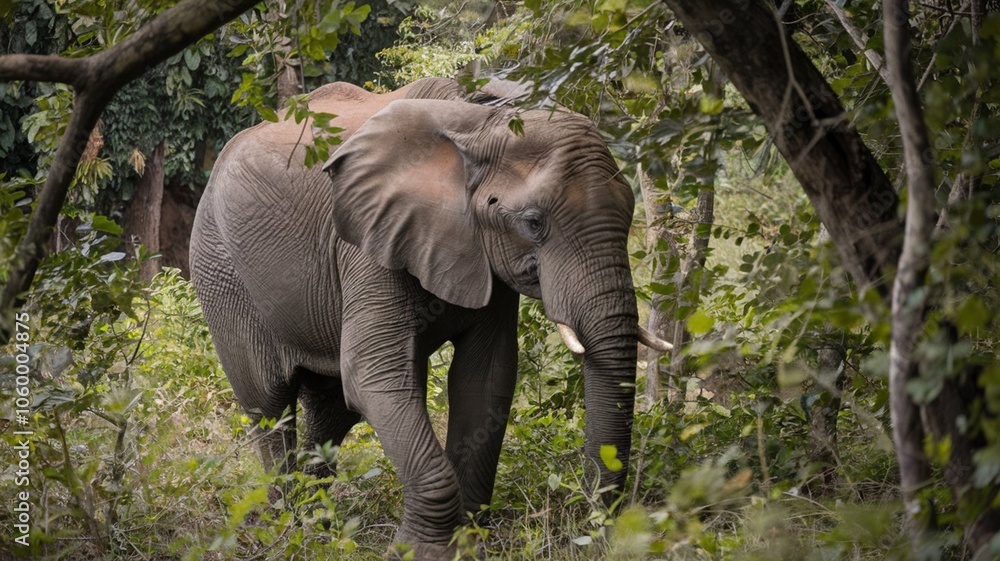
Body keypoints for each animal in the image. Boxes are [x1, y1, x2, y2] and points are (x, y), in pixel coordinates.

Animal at [189, 77, 671, 557]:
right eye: (534, 223)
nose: (593, 529)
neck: (481, 121)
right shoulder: (368, 241)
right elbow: (374, 374)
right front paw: (418, 552)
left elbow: (486, 377)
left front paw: (469, 545)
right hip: (219, 268)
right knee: (269, 404)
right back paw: (287, 527)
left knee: (331, 408)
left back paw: (317, 522)